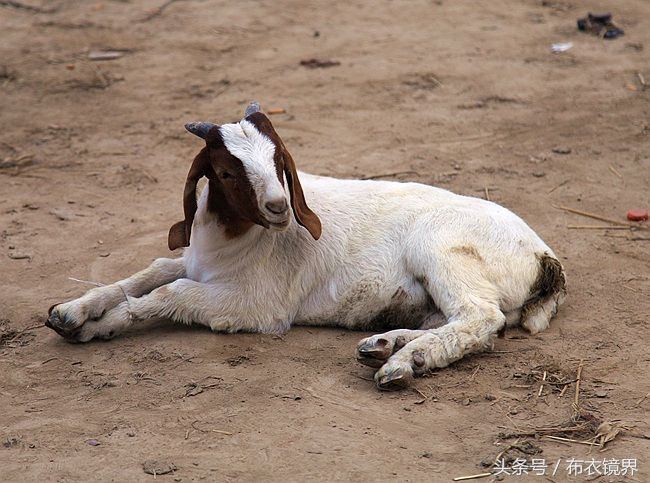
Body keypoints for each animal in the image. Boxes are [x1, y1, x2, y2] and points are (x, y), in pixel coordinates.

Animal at [45, 101, 564, 390]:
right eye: (226, 171)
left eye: (280, 161)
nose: (278, 206)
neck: (232, 240)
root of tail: (544, 256)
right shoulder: (195, 264)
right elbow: (150, 272)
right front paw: (72, 313)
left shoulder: (254, 305)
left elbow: (168, 294)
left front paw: (100, 325)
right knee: (465, 321)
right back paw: (384, 345)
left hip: (443, 252)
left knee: (480, 319)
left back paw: (403, 364)